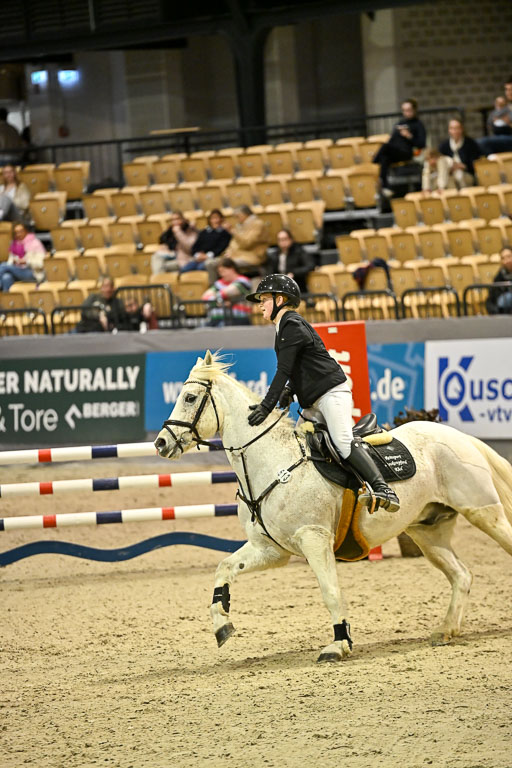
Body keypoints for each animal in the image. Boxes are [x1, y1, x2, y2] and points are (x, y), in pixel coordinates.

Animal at [154, 351, 512, 662]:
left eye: (189, 398)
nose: (161, 442)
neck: (272, 462)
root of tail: (459, 436)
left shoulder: (314, 539)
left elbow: (330, 591)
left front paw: (339, 644)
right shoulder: (270, 549)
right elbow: (224, 569)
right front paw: (222, 624)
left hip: (484, 514)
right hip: (427, 532)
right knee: (461, 575)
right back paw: (446, 630)